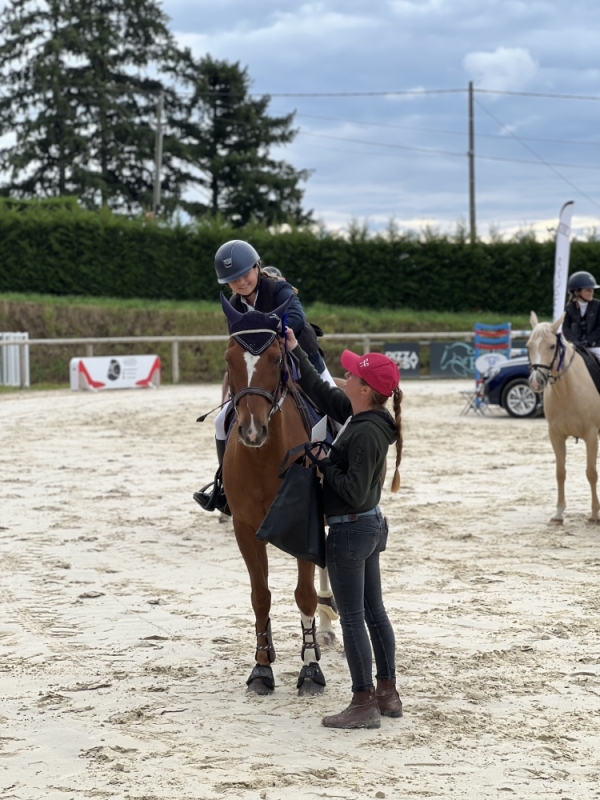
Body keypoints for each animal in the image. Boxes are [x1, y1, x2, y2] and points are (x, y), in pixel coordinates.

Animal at [219, 294, 336, 692]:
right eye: (229, 359)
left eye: (274, 358)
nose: (252, 430)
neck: (263, 458)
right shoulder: (244, 528)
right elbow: (260, 597)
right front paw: (262, 665)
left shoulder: (304, 524)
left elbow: (304, 595)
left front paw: (310, 667)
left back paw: (328, 622)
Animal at [528, 312, 600, 524]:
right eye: (528, 346)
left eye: (552, 346)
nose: (536, 382)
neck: (567, 390)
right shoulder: (556, 435)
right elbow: (560, 473)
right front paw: (559, 513)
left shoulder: (591, 435)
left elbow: (591, 473)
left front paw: (595, 514)